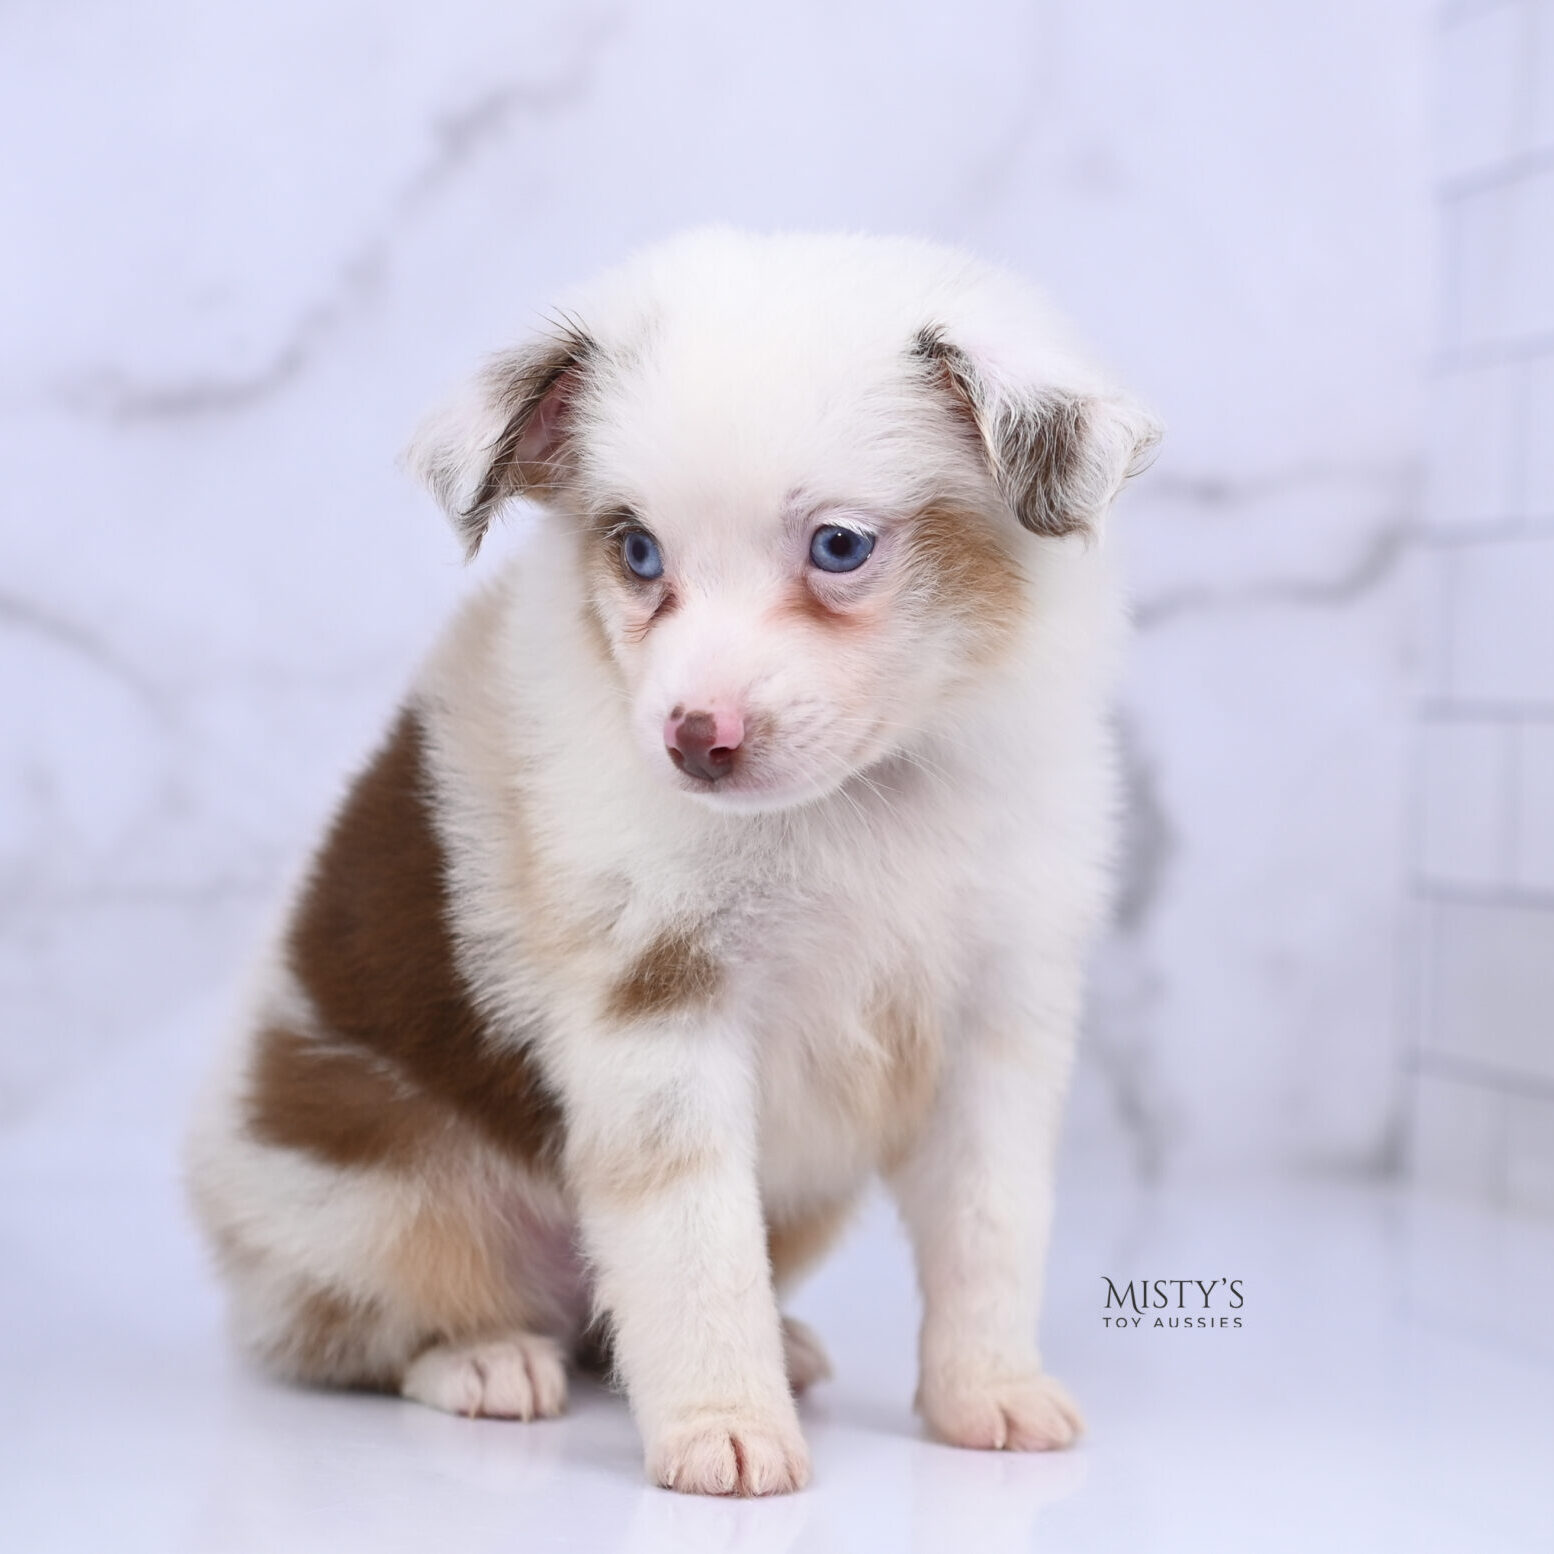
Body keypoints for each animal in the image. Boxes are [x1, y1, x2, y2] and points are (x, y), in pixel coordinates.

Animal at [184, 226, 1156, 1491]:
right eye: (639, 552)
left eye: (838, 546)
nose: (697, 740)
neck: (860, 802)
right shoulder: (655, 997)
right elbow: (693, 1241)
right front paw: (724, 1429)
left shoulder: (1000, 1006)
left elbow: (990, 1225)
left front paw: (988, 1393)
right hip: (358, 1196)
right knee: (354, 1324)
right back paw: (481, 1359)